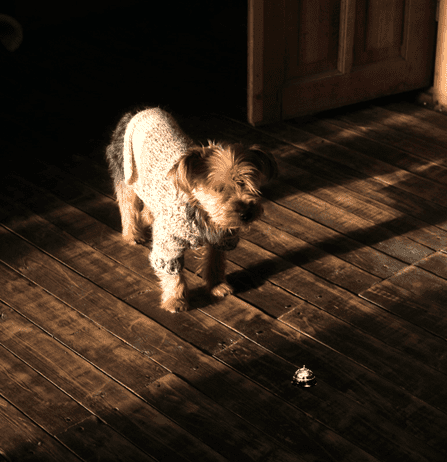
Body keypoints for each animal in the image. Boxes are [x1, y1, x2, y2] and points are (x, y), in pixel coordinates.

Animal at [106, 106, 278, 312]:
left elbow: (216, 261)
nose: (246, 214)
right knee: (127, 204)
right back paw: (132, 234)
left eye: (249, 185)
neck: (203, 213)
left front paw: (217, 285)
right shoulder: (168, 242)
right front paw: (176, 300)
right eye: (219, 189)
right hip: (126, 172)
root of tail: (137, 112)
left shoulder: (221, 238)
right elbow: (172, 273)